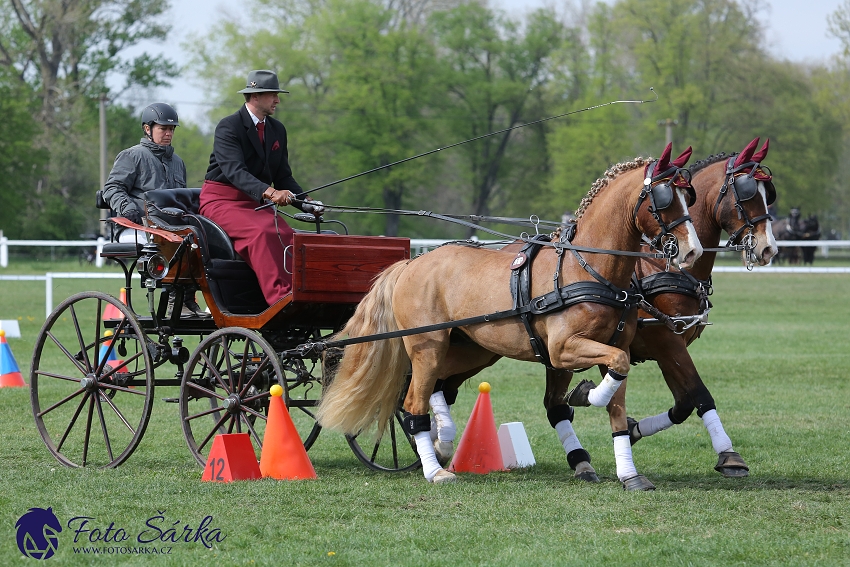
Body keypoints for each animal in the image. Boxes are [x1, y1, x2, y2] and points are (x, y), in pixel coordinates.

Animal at [314, 142, 700, 484]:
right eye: (663, 198)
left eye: (689, 196)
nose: (692, 251)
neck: (589, 268)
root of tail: (412, 263)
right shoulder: (562, 350)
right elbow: (606, 379)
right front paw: (585, 395)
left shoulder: (611, 346)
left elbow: (616, 403)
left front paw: (629, 474)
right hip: (428, 346)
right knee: (413, 402)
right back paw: (435, 470)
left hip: (471, 349)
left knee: (436, 387)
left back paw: (442, 443)